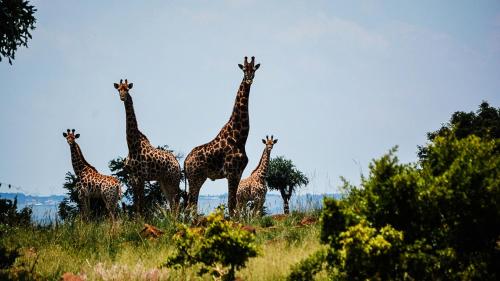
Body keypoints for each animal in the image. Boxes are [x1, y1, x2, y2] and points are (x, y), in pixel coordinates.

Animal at [113, 79, 182, 214]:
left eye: (127, 89)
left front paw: (142, 218)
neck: (132, 145)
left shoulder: (141, 177)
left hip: (173, 179)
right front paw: (136, 218)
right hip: (163, 181)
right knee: (171, 202)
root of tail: (177, 163)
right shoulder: (132, 177)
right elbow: (136, 203)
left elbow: (142, 203)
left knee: (176, 202)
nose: (122, 97)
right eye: (119, 89)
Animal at [185, 56, 262, 214]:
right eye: (244, 69)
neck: (240, 137)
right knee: (191, 205)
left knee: (191, 204)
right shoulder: (232, 173)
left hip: (198, 178)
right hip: (195, 177)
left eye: (254, 69)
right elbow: (231, 204)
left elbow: (233, 204)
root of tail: (185, 161)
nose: (249, 79)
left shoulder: (238, 173)